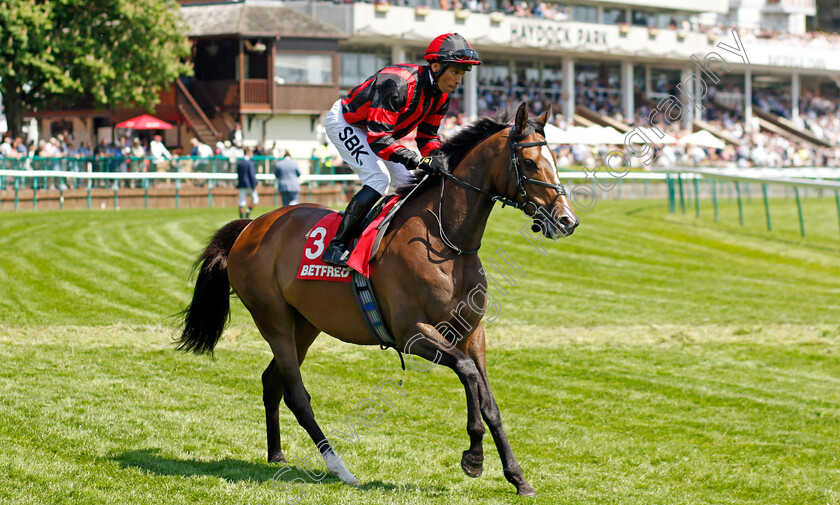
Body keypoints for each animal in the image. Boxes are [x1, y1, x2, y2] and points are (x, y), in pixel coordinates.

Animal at [176, 100, 576, 494]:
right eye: (529, 162)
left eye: (555, 159)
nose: (567, 220)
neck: (446, 241)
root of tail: (250, 228)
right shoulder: (412, 333)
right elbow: (467, 372)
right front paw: (474, 456)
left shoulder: (471, 332)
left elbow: (487, 398)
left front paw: (516, 475)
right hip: (272, 318)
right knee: (297, 395)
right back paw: (340, 468)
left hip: (303, 324)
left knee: (273, 382)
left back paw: (277, 454)